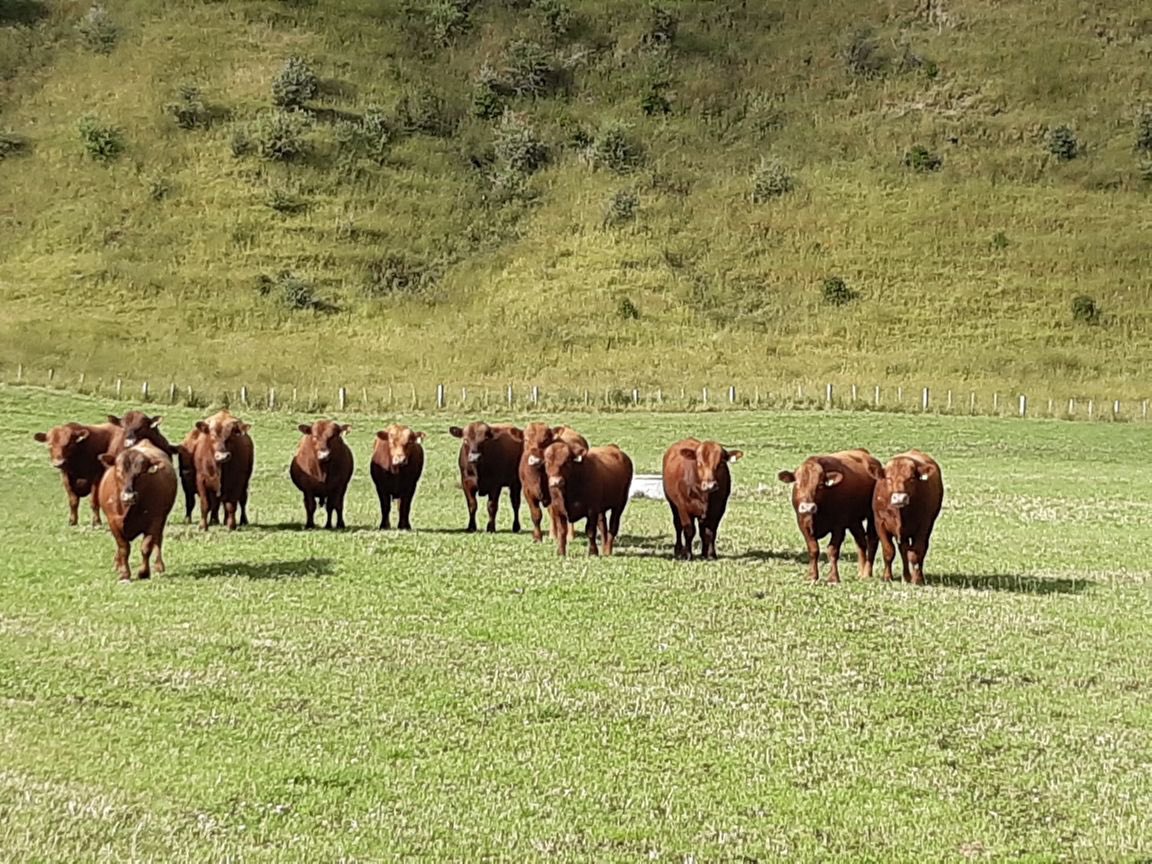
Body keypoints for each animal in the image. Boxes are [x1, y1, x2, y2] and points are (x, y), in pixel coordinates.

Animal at [97, 441, 177, 582]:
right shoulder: (113, 521)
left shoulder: (154, 521)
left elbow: (146, 547)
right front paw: (124, 573)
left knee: (158, 540)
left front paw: (143, 572)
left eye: (140, 473)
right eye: (118, 471)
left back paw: (159, 566)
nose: (129, 496)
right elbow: (123, 548)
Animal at [777, 448, 882, 583]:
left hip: (872, 515)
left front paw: (833, 578)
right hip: (854, 520)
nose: (807, 507)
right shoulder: (803, 524)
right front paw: (812, 576)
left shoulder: (839, 526)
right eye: (798, 484)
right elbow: (813, 549)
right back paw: (860, 571)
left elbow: (832, 550)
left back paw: (866, 573)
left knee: (872, 541)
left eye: (820, 485)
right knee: (861, 541)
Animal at [869, 450, 944, 585]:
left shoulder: (923, 526)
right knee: (903, 550)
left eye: (911, 478)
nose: (900, 498)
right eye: (889, 478)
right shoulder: (880, 523)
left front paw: (917, 580)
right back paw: (906, 576)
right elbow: (889, 551)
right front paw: (887, 577)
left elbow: (916, 553)